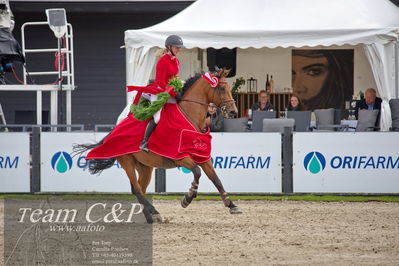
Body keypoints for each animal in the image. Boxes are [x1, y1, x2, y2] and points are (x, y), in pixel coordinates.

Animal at [75, 69, 244, 223]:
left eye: (229, 87)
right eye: (221, 88)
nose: (233, 112)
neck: (191, 118)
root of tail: (114, 130)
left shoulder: (202, 157)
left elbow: (216, 179)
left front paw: (232, 205)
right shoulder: (181, 158)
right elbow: (197, 172)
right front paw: (188, 197)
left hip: (145, 167)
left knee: (140, 189)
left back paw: (151, 217)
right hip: (127, 162)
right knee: (137, 189)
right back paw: (154, 212)